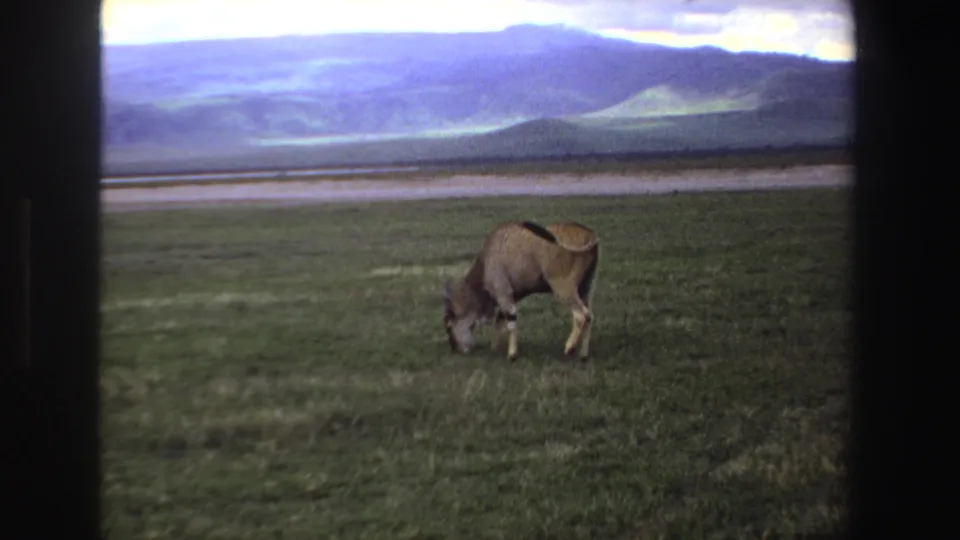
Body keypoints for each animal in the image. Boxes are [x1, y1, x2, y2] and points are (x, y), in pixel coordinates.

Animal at [442, 221, 600, 361]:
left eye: (449, 326)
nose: (456, 349)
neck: (486, 261)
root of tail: (589, 234)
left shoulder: (503, 294)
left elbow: (510, 321)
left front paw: (512, 355)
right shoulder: (511, 296)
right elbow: (499, 319)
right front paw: (495, 347)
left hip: (563, 289)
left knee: (582, 315)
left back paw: (570, 348)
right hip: (586, 289)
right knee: (590, 316)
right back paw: (583, 355)